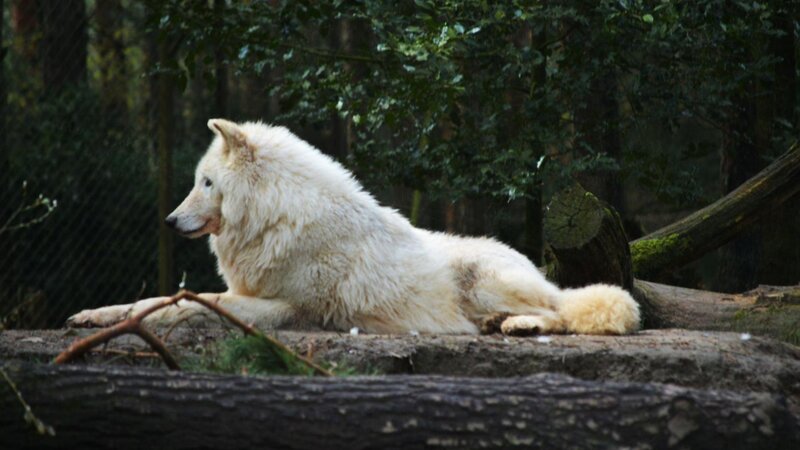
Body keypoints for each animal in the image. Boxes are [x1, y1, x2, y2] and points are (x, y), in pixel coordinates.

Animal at [68, 119, 640, 335]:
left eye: (206, 182)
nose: (168, 220)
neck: (277, 217)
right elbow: (157, 299)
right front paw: (94, 314)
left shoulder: (283, 307)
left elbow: (186, 304)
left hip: (486, 279)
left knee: (568, 312)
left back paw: (522, 325)